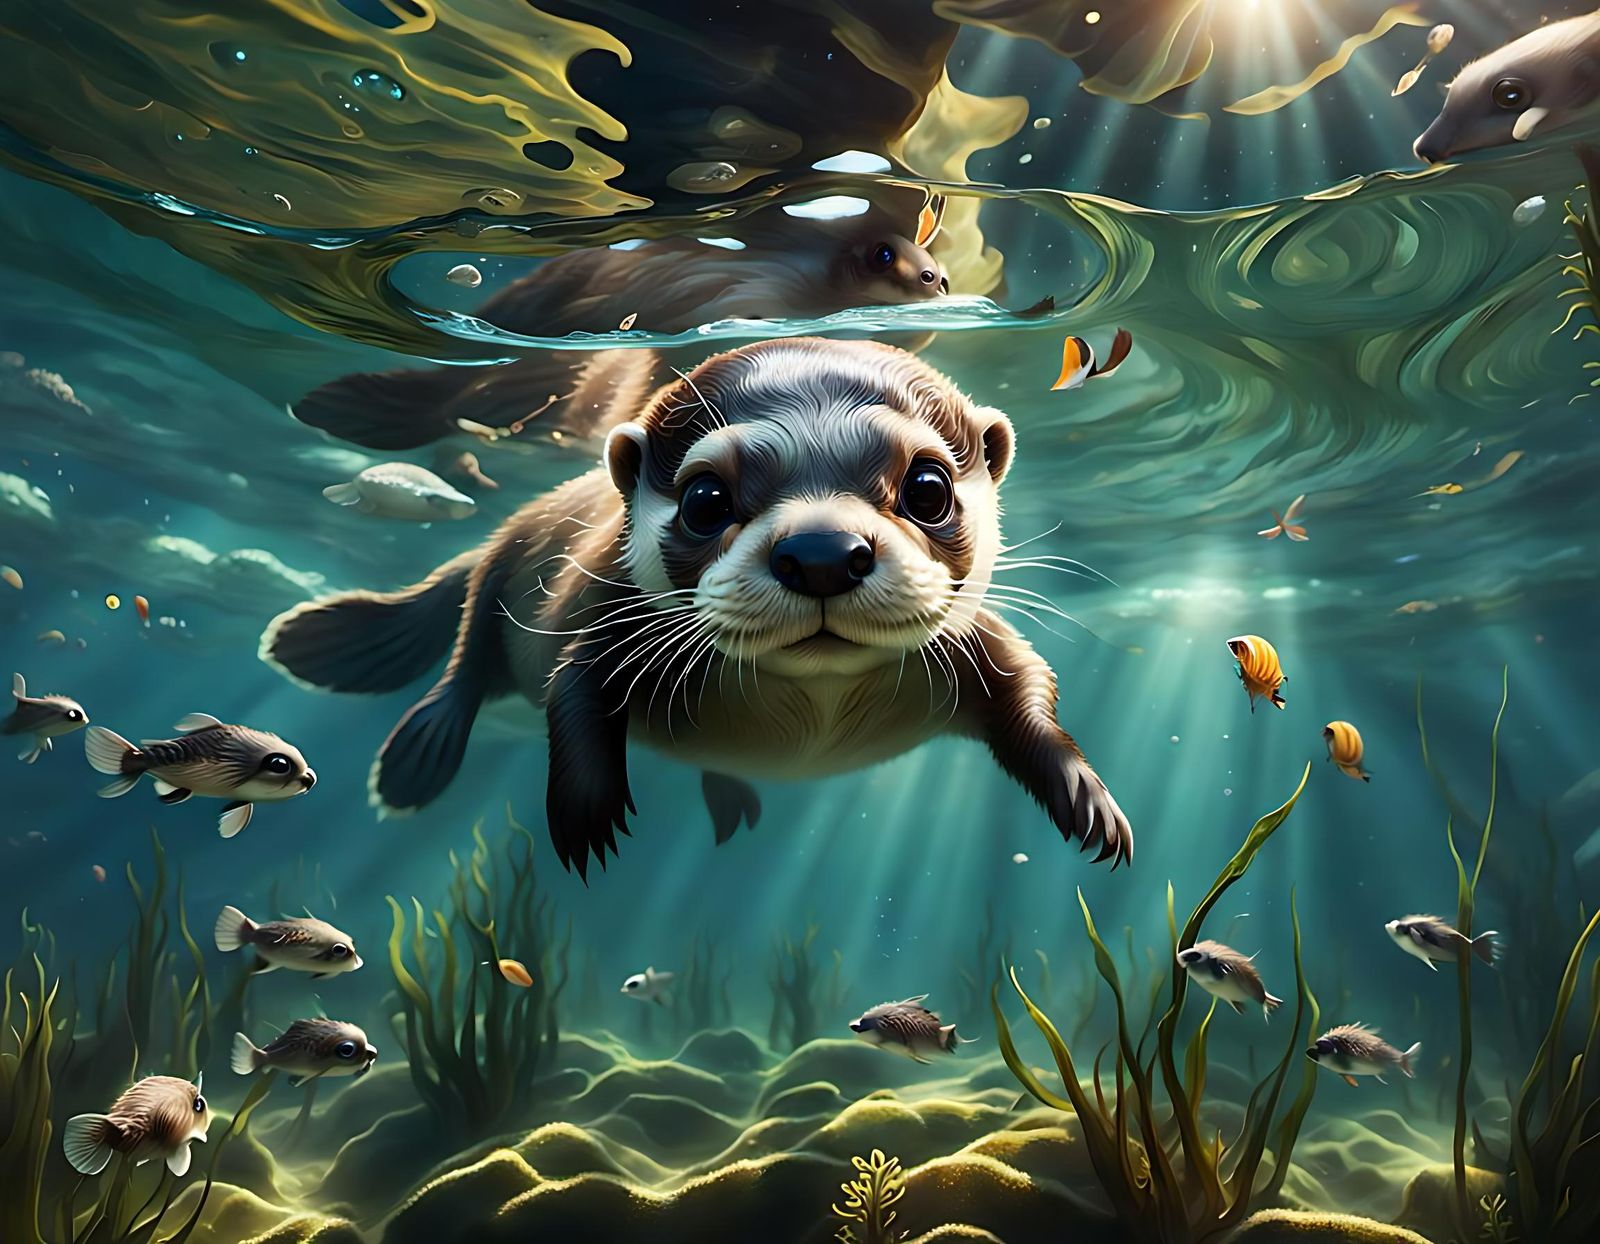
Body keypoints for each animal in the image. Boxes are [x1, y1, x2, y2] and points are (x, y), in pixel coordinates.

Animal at [263, 338, 1130, 878]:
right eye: (706, 500)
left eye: (927, 488)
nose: (822, 553)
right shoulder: (600, 614)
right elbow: (571, 687)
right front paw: (586, 812)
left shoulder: (978, 642)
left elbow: (1031, 686)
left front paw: (1086, 797)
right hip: (507, 565)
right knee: (468, 655)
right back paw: (420, 753)